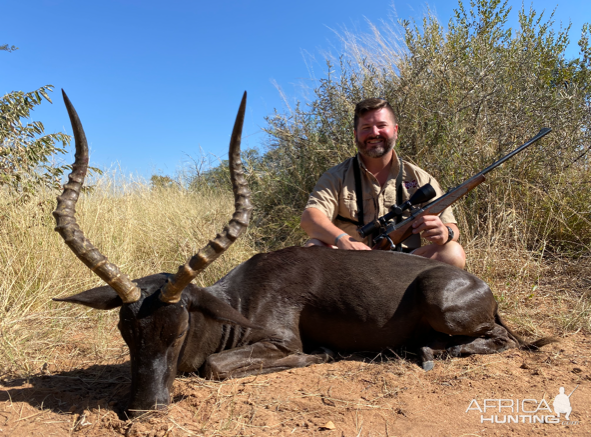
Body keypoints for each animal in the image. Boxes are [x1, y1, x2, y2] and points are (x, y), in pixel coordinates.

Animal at [52, 90, 556, 414]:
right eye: (126, 330)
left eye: (177, 329)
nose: (143, 408)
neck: (239, 301)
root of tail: (484, 289)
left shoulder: (279, 341)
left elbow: (216, 366)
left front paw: (323, 354)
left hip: (442, 302)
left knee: (503, 339)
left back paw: (432, 350)